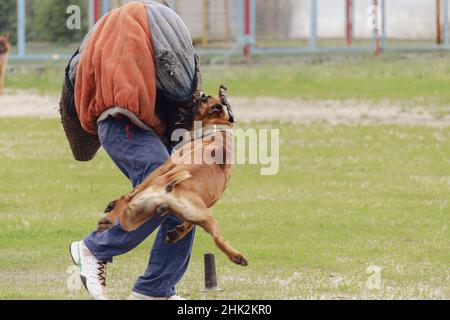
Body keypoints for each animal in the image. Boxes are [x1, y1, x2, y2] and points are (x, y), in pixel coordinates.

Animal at [97, 86, 250, 266]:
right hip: (200, 216)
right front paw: (179, 231)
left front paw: (114, 202)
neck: (218, 129)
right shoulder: (210, 199)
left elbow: (132, 191)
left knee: (127, 202)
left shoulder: (164, 167)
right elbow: (189, 225)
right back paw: (236, 256)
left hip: (147, 196)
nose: (199, 93)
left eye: (204, 99)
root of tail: (171, 190)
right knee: (216, 237)